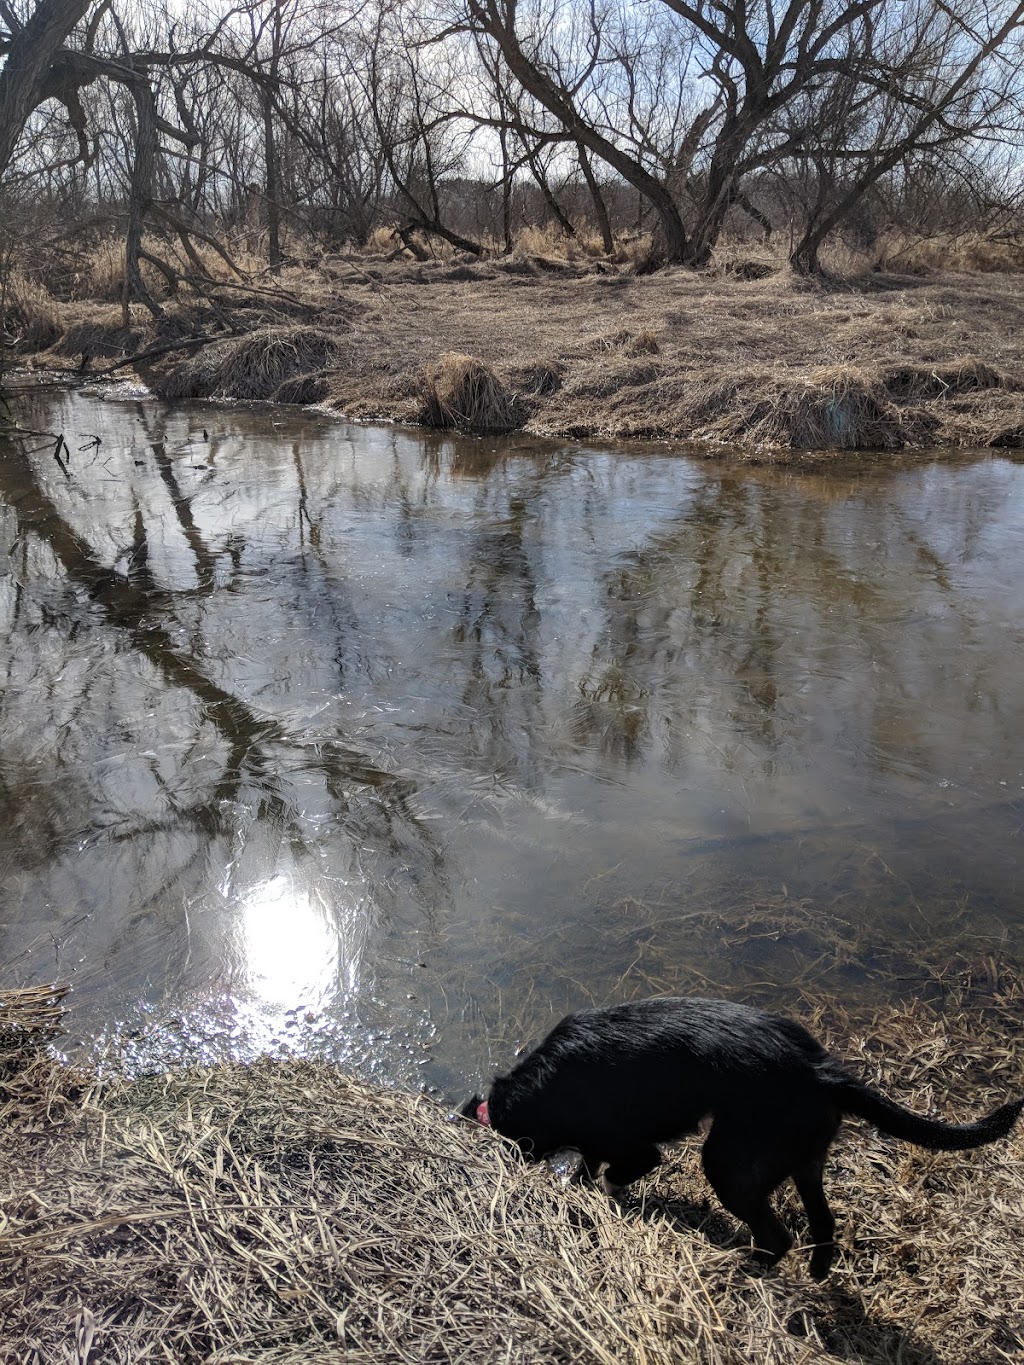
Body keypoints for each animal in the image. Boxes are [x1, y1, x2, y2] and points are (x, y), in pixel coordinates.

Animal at [461, 993, 1021, 1277]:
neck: (540, 1086)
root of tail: (823, 1072)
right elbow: (593, 1167)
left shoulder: (634, 1148)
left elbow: (618, 1169)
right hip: (802, 1159)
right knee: (821, 1223)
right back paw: (816, 1272)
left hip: (729, 1163)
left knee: (778, 1236)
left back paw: (740, 1266)